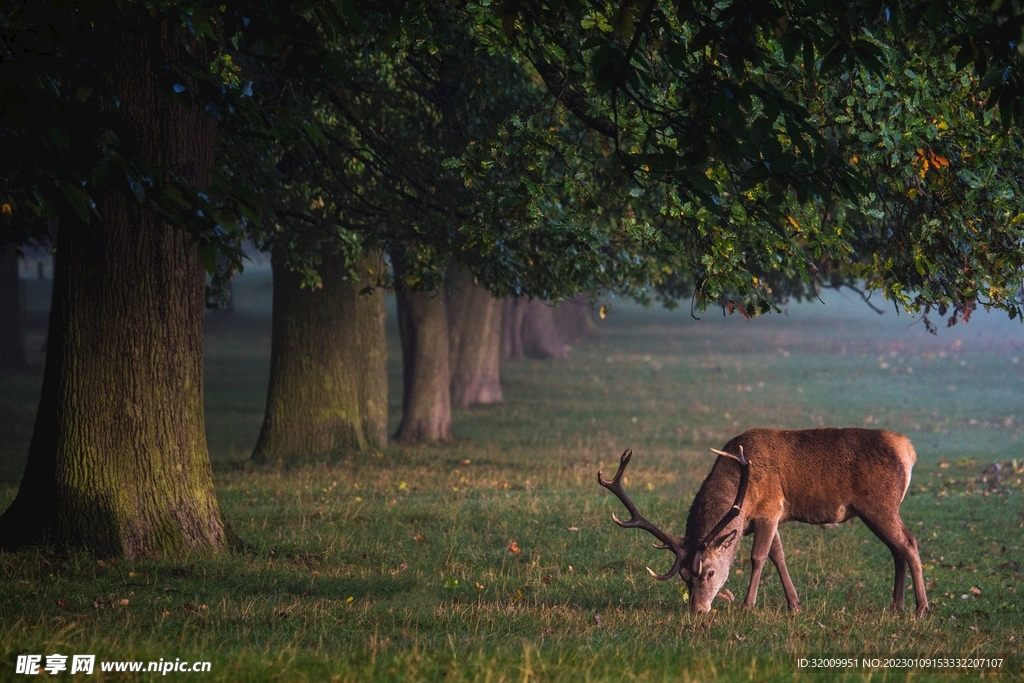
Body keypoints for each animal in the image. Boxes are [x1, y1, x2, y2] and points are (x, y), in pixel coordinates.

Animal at [598, 428, 928, 616]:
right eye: (684, 577)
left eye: (710, 572)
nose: (697, 609)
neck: (744, 493)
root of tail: (907, 450)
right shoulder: (768, 518)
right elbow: (778, 556)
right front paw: (794, 605)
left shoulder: (770, 508)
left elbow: (758, 557)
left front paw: (748, 605)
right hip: (874, 511)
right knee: (896, 549)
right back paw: (896, 605)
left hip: (880, 504)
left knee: (909, 543)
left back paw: (921, 607)